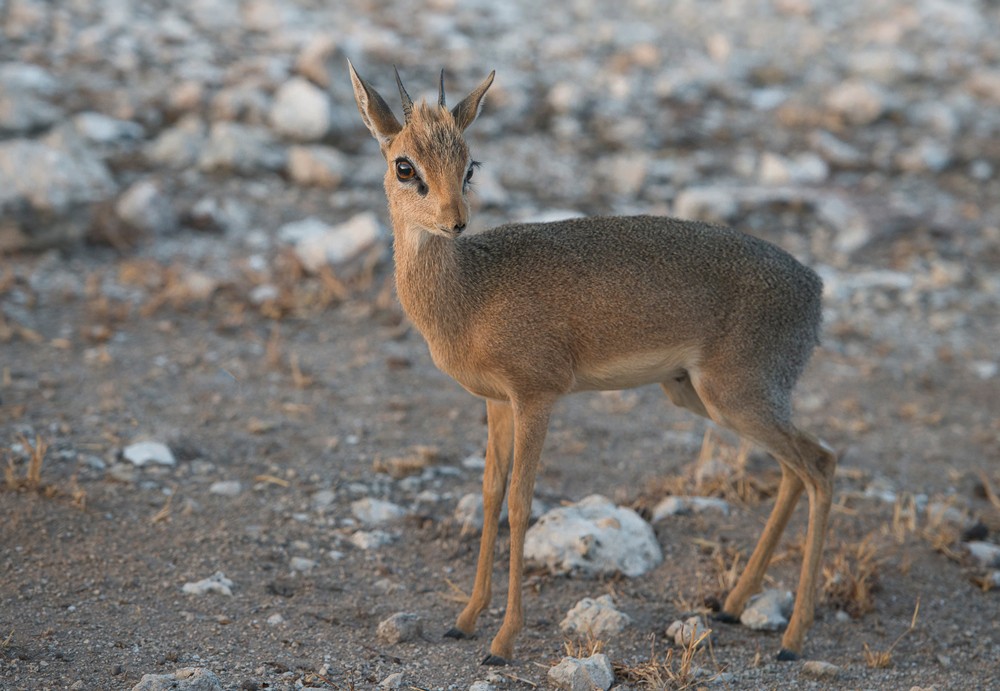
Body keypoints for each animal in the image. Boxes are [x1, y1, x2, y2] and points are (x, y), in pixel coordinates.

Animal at [350, 63, 836, 664]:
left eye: (470, 164)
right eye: (405, 164)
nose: (455, 222)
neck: (468, 292)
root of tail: (815, 288)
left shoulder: (537, 397)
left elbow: (521, 503)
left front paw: (503, 640)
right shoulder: (497, 404)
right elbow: (489, 495)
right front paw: (465, 620)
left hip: (738, 397)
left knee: (820, 466)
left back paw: (793, 637)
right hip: (705, 397)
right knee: (798, 469)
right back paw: (732, 604)